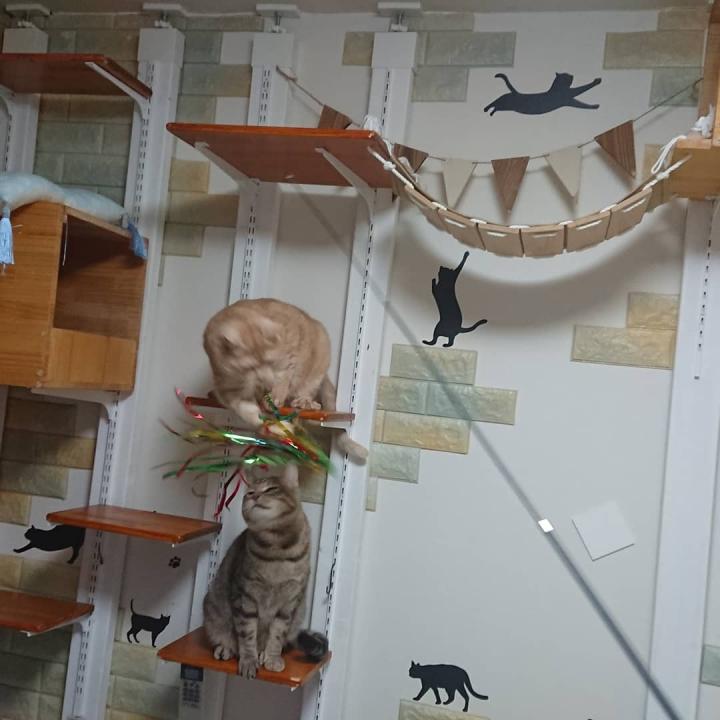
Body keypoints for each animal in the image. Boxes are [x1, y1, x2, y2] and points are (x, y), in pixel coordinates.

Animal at [203, 298, 367, 461]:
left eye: (271, 362)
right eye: (251, 367)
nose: (266, 381)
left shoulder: (290, 357)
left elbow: (283, 378)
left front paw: (275, 398)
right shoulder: (226, 389)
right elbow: (247, 411)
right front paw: (272, 424)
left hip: (318, 362)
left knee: (307, 389)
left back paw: (303, 402)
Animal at [203, 464, 328, 678]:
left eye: (271, 489)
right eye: (250, 492)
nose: (254, 496)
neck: (276, 548)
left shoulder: (289, 603)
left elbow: (277, 635)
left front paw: (271, 658)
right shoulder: (244, 596)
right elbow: (247, 635)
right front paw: (248, 661)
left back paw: (262, 652)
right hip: (213, 609)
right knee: (226, 636)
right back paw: (226, 649)